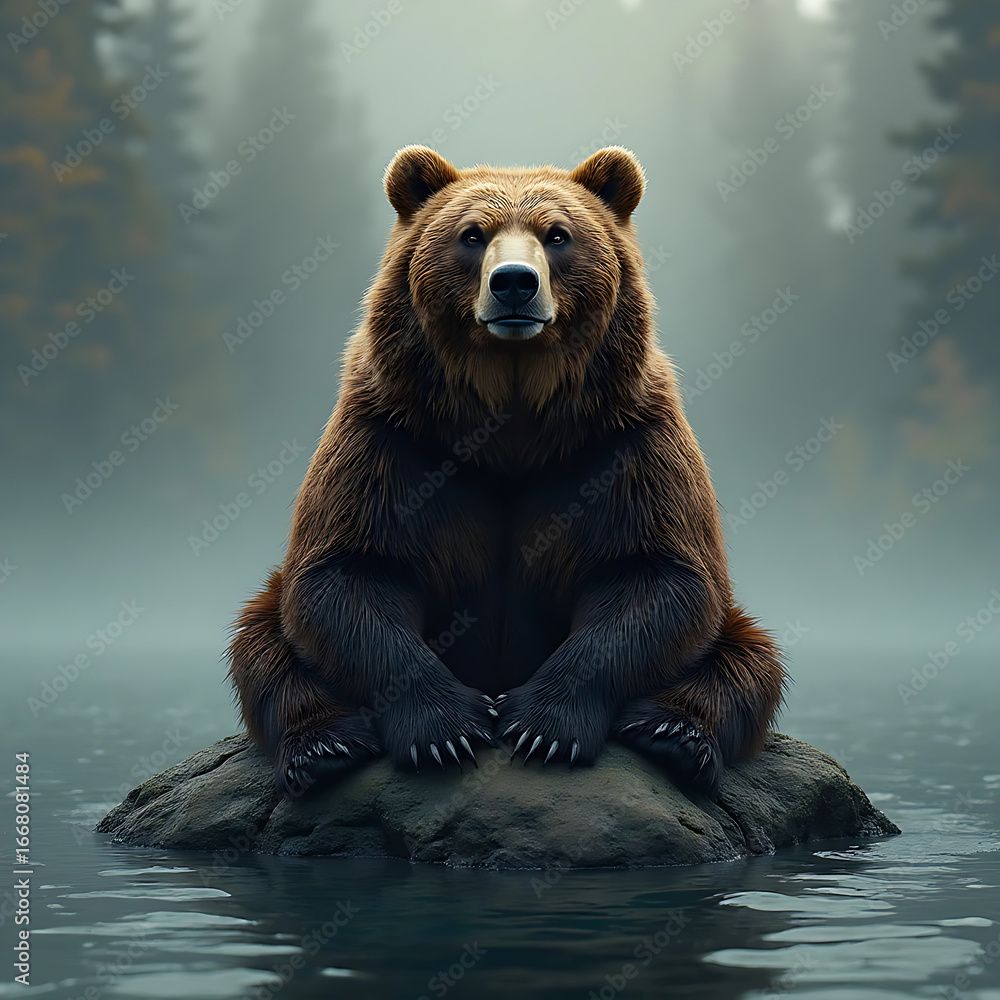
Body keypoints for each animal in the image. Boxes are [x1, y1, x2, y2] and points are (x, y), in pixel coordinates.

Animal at [228, 144, 786, 800]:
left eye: (557, 234)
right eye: (472, 235)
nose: (515, 282)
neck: (512, 422)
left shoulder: (622, 441)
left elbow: (660, 576)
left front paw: (542, 727)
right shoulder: (392, 437)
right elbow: (347, 573)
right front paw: (447, 731)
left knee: (747, 657)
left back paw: (673, 734)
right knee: (263, 644)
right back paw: (325, 746)